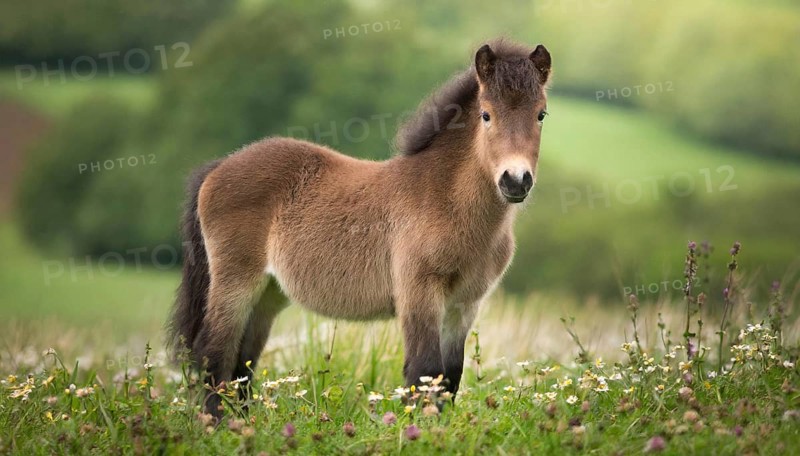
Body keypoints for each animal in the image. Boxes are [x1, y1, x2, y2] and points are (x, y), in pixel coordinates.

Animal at [167, 39, 552, 418]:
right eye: (486, 114)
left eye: (541, 114)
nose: (515, 180)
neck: (445, 199)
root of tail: (218, 168)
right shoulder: (419, 292)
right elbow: (423, 371)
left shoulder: (464, 304)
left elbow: (448, 379)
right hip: (235, 282)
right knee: (213, 353)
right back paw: (217, 424)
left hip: (269, 293)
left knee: (242, 363)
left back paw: (246, 423)